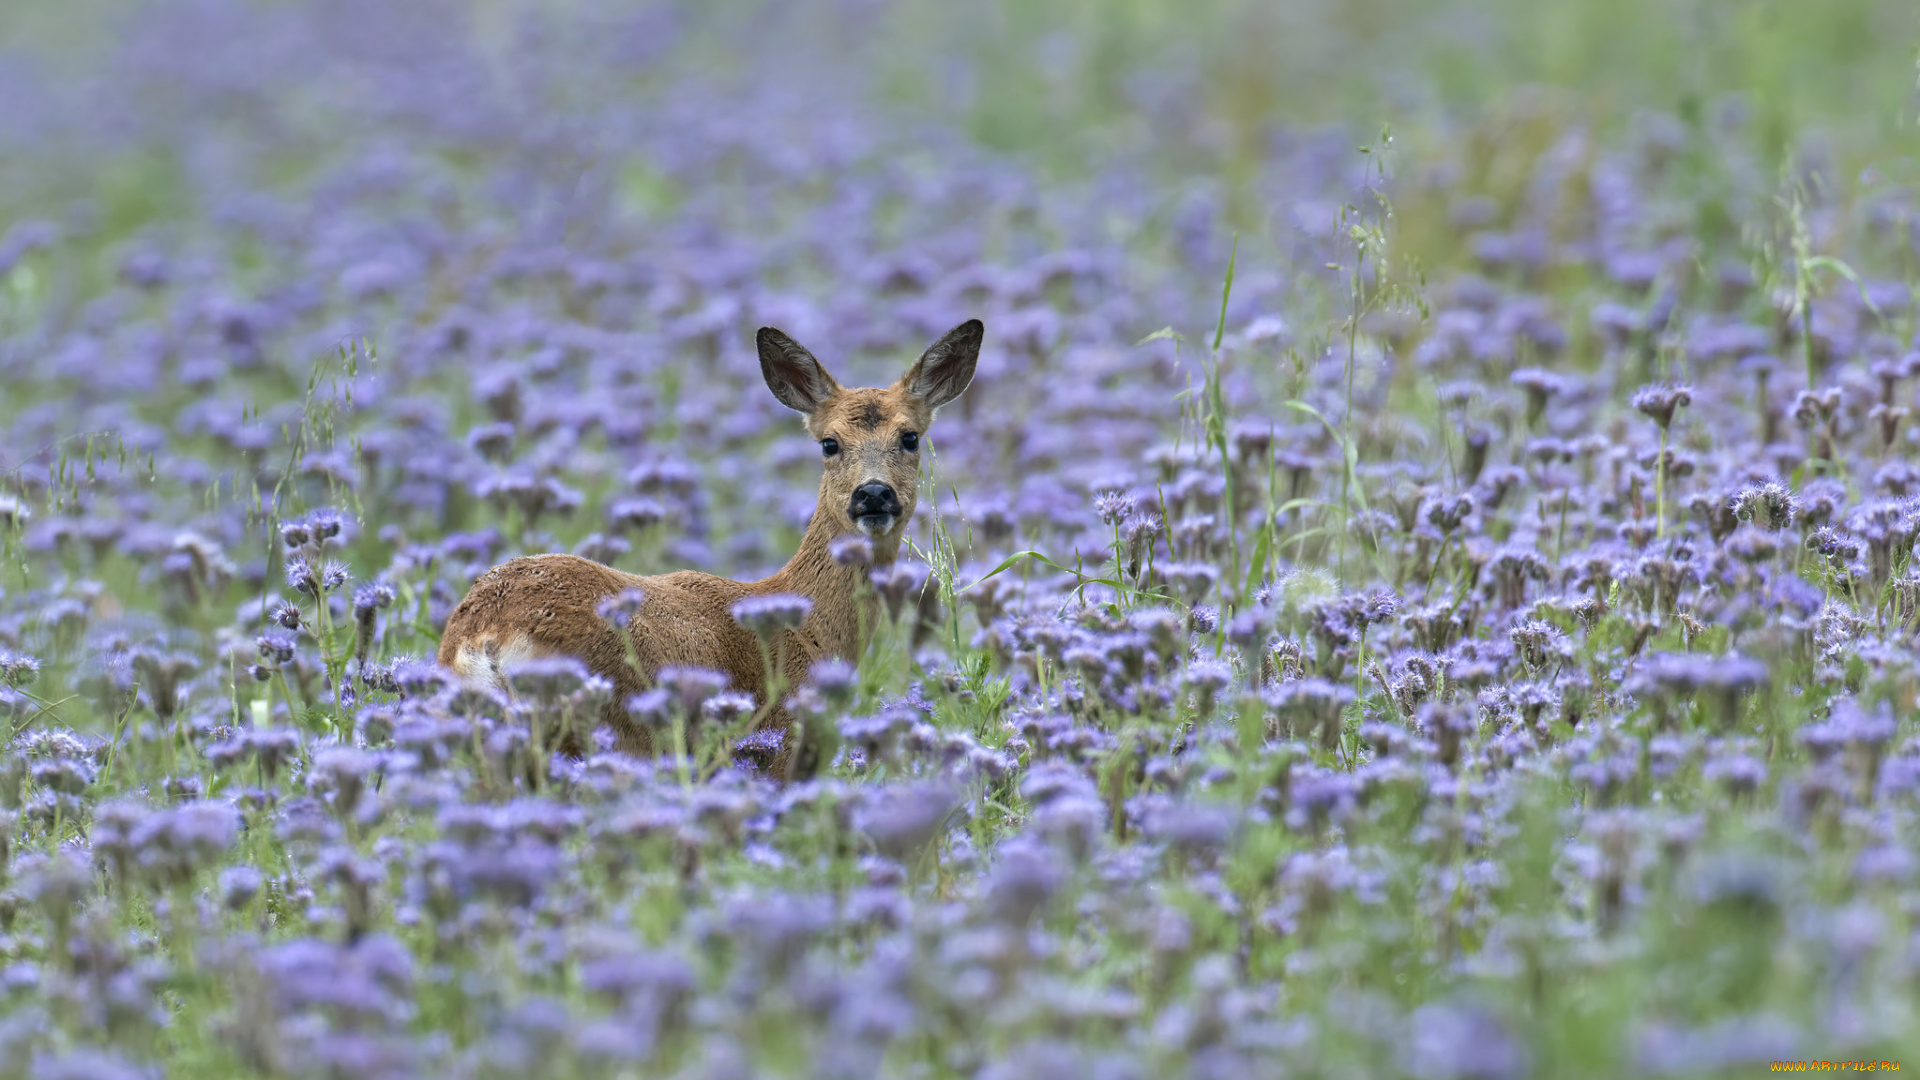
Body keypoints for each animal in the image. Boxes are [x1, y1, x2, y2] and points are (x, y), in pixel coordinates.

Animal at [432, 315, 975, 776]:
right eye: (830, 443)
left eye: (910, 437)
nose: (874, 493)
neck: (811, 628)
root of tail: (485, 637)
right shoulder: (775, 753)